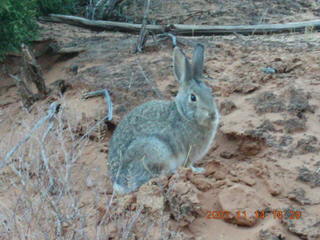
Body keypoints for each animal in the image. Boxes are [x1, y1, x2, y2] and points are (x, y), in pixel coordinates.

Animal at [107, 43, 220, 195]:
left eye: (210, 92)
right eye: (193, 97)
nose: (212, 114)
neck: (183, 114)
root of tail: (120, 183)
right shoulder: (188, 153)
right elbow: (188, 164)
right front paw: (197, 170)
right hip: (156, 150)